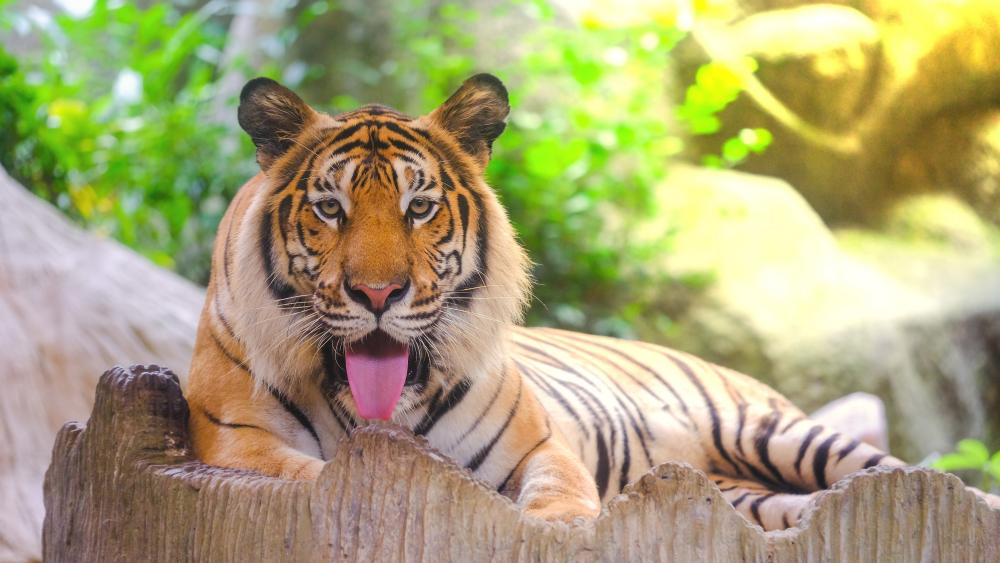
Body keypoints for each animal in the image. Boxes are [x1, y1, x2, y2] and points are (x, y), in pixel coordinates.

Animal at [185, 73, 997, 530]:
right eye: (331, 208)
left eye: (419, 208)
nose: (379, 293)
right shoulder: (239, 447)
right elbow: (317, 475)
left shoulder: (540, 445)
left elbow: (559, 497)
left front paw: (561, 527)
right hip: (743, 490)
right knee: (802, 510)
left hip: (776, 431)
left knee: (913, 477)